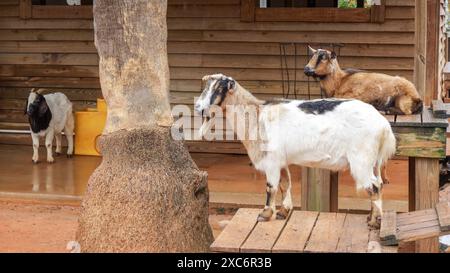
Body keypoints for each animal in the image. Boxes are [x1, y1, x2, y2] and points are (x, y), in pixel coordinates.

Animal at [197, 73, 398, 227]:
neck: (257, 117)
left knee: (373, 186)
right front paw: (283, 212)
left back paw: (375, 222)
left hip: (361, 159)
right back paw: (372, 217)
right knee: (379, 184)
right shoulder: (280, 161)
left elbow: (271, 187)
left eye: (218, 88)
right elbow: (285, 184)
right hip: (373, 161)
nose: (198, 107)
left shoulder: (271, 161)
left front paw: (265, 214)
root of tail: (383, 125)